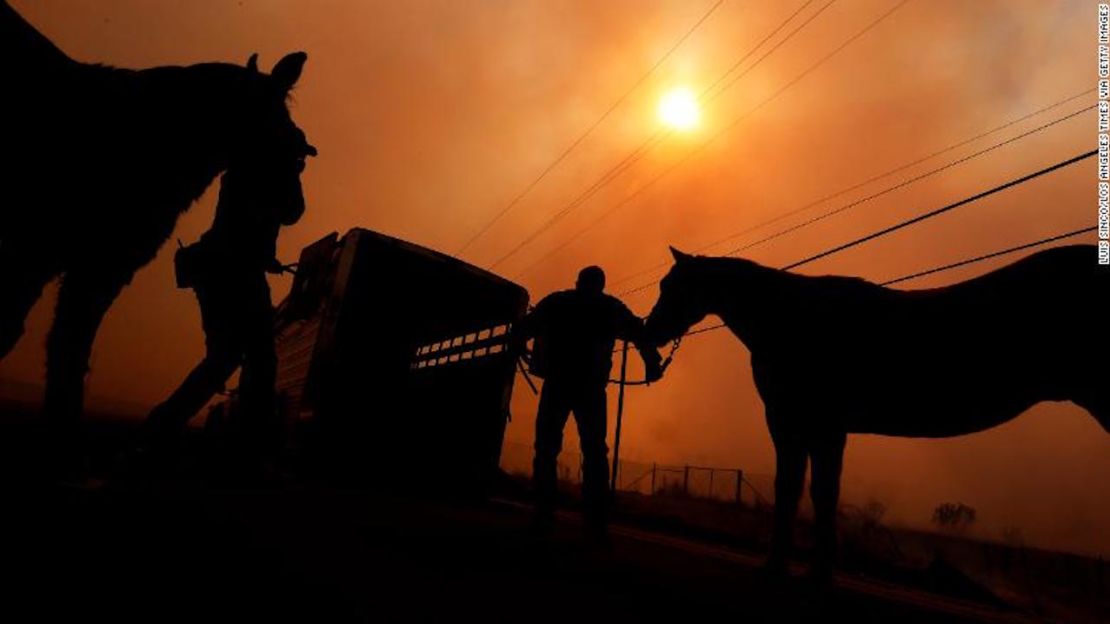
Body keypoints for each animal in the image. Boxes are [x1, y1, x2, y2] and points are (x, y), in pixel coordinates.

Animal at [648, 245, 1105, 577]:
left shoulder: (804, 424)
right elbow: (807, 489)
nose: (651, 330)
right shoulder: (815, 427)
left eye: (672, 286)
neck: (792, 317)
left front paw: (800, 567)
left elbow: (806, 489)